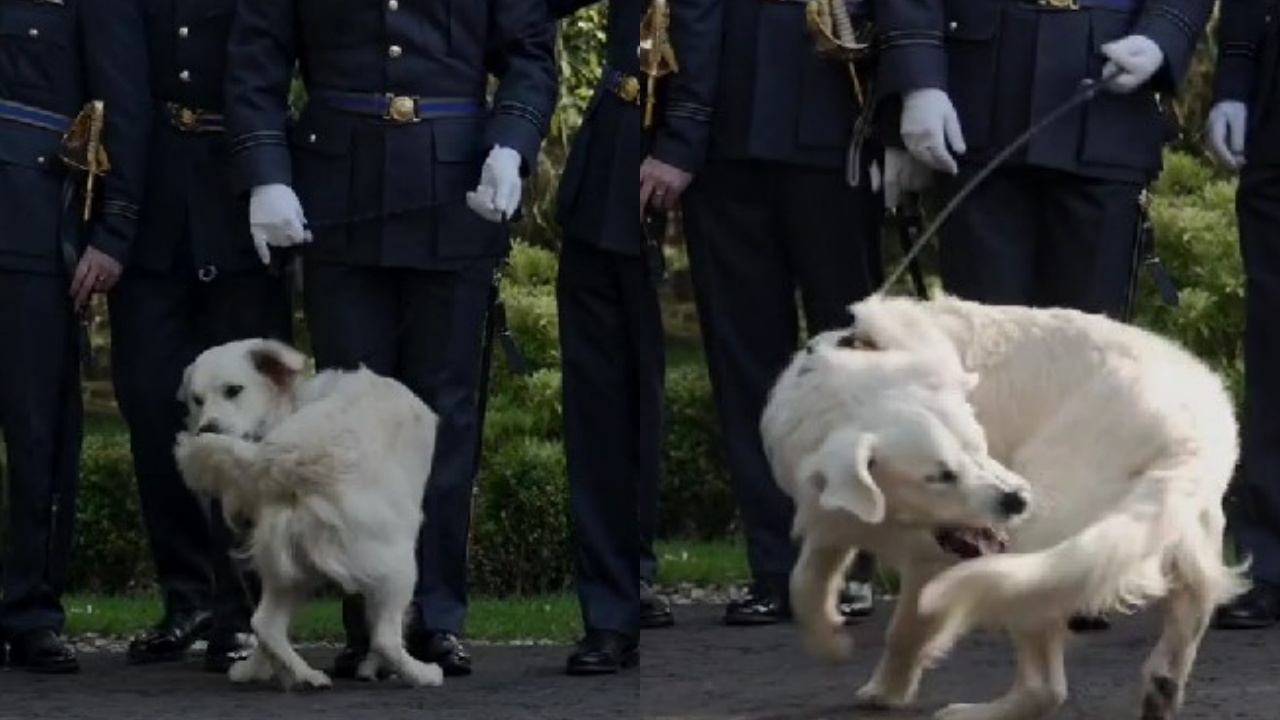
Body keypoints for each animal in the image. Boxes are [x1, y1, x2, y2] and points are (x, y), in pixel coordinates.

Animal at [172, 338, 445, 686]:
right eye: (198, 400)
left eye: (234, 390)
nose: (207, 428)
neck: (294, 401)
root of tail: (284, 461)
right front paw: (374, 668)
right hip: (397, 565)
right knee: (385, 637)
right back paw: (423, 674)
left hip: (290, 569)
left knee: (265, 624)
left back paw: (301, 675)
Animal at [762, 294, 1244, 717]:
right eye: (940, 475)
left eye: (979, 446)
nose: (1018, 498)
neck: (833, 401)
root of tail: (1188, 429)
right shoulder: (830, 511)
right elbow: (805, 580)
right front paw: (828, 638)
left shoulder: (933, 559)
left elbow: (905, 629)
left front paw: (888, 689)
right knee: (1196, 599)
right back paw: (1162, 685)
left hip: (1038, 547)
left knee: (1045, 687)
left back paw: (971, 713)